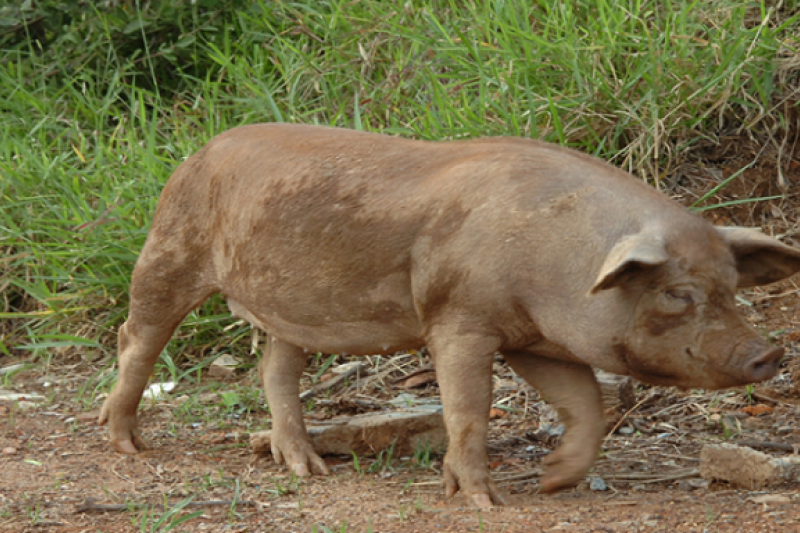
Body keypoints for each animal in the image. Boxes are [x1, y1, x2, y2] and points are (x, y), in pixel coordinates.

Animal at [99, 124, 800, 507]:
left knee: (276, 368)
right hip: (171, 246)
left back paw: (307, 467)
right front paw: (485, 502)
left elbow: (587, 406)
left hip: (289, 309)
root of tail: (202, 150)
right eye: (677, 293)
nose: (769, 352)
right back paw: (125, 442)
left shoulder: (533, 339)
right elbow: (468, 408)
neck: (558, 262)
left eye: (732, 287)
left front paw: (551, 483)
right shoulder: (460, 320)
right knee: (137, 335)